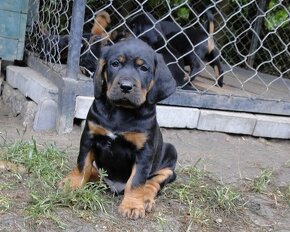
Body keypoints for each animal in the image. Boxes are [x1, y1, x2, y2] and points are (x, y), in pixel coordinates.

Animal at [61, 38, 177, 219]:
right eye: (115, 64)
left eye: (144, 68)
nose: (126, 86)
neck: (121, 111)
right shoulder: (89, 137)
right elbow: (82, 164)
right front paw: (73, 183)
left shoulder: (144, 151)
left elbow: (137, 181)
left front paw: (133, 205)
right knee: (93, 171)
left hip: (170, 155)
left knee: (153, 182)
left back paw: (146, 199)